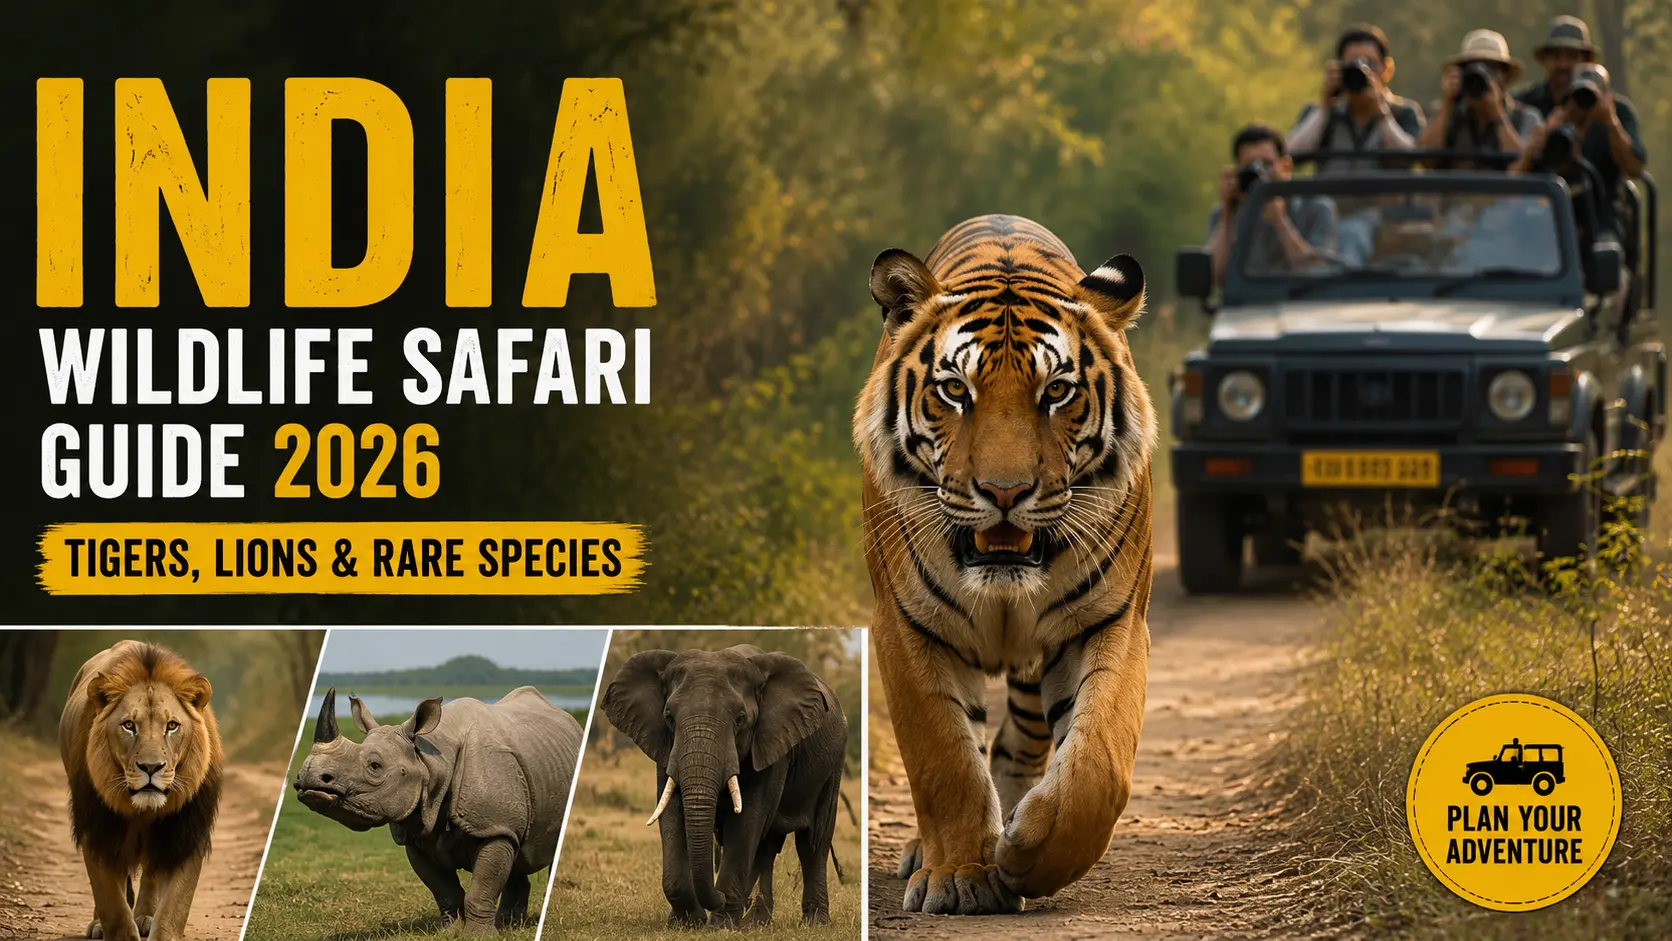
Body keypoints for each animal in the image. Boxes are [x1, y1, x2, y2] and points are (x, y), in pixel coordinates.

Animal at [59, 641, 224, 941]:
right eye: (128, 725)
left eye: (172, 726)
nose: (151, 767)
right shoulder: (96, 827)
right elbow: (111, 900)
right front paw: (117, 929)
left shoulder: (186, 832)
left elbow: (175, 905)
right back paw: (98, 925)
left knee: (151, 872)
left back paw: (146, 915)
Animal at [855, 214, 1156, 915]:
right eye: (954, 391)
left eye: (1057, 392)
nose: (1005, 492)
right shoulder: (905, 627)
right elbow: (943, 757)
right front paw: (960, 877)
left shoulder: (1114, 622)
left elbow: (1097, 763)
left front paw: (1025, 855)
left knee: (1022, 741)